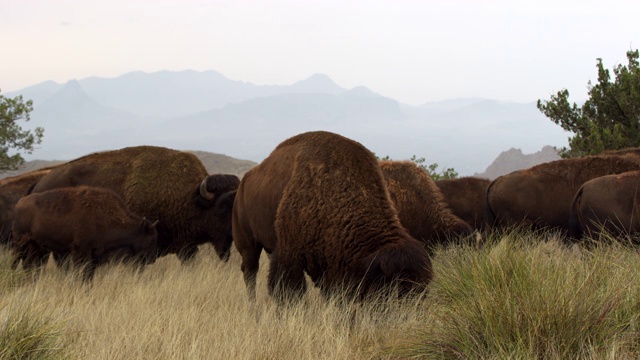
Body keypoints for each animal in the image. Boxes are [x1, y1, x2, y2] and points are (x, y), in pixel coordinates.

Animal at [11, 184, 159, 280]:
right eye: (151, 239)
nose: (152, 259)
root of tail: (19, 203)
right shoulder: (82, 252)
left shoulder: (94, 255)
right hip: (20, 244)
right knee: (15, 262)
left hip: (36, 247)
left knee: (28, 265)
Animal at [232, 131, 432, 302]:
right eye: (392, 291)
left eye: (422, 292)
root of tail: (245, 181)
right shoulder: (288, 255)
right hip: (248, 245)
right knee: (250, 273)